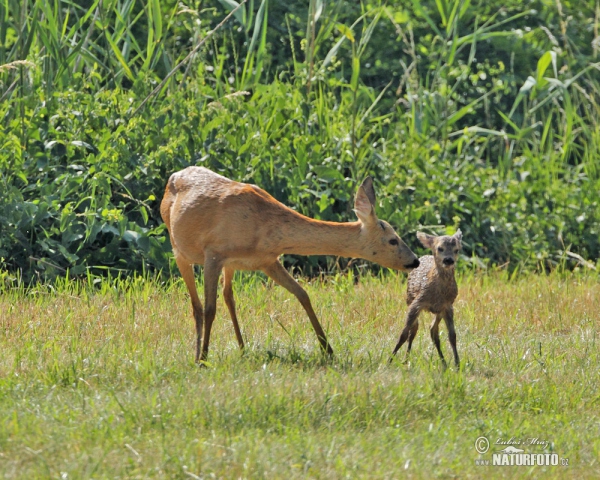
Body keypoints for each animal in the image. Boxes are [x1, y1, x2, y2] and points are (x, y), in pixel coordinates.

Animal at [162, 167, 420, 362]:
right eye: (393, 239)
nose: (415, 261)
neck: (262, 227)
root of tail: (173, 175)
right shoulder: (213, 254)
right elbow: (209, 309)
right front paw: (204, 358)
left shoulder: (267, 260)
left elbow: (303, 294)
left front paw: (328, 349)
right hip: (178, 249)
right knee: (197, 305)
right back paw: (199, 355)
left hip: (230, 265)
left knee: (229, 297)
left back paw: (242, 348)